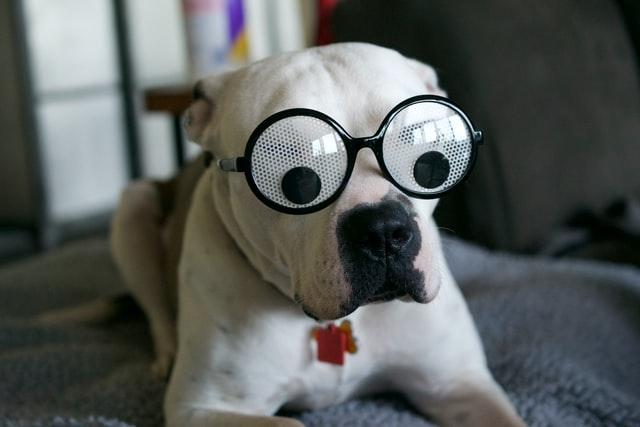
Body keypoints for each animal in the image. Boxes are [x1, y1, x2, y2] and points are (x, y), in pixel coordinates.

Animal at [110, 41, 524, 427]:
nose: (382, 231)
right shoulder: (202, 408)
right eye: (292, 175)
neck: (333, 324)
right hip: (133, 207)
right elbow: (290, 423)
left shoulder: (458, 383)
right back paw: (166, 353)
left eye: (430, 157)